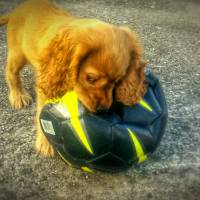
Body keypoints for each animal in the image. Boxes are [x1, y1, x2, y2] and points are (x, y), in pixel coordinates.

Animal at [0, 0, 147, 156]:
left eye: (118, 81)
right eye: (90, 78)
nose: (102, 110)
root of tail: (17, 9)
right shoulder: (46, 84)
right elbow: (41, 113)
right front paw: (46, 143)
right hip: (18, 54)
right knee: (10, 72)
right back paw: (18, 95)